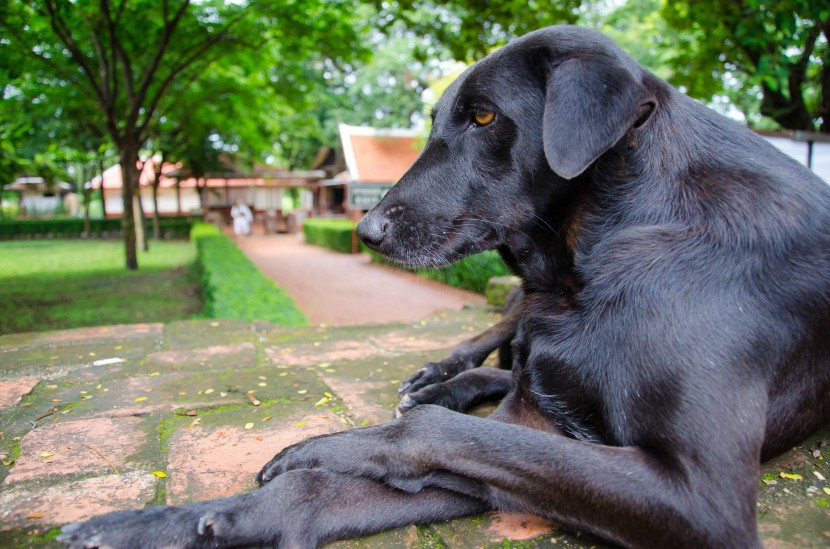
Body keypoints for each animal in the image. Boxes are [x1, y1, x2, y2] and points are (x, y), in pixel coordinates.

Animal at [58, 23, 830, 544]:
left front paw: (326, 443)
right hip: (516, 320)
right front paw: (153, 523)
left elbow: (429, 435)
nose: (364, 231)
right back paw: (438, 375)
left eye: (484, 116)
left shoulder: (698, 495)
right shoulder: (537, 423)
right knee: (495, 346)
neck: (599, 252)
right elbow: (320, 490)